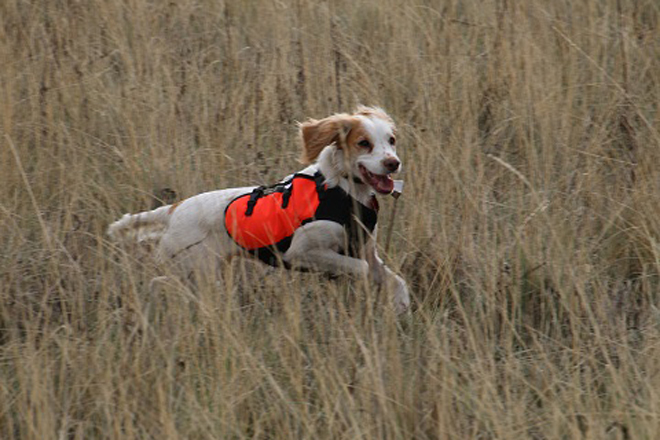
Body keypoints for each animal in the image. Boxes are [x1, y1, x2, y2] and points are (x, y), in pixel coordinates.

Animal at [107, 106, 408, 312]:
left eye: (392, 140)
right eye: (363, 143)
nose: (393, 163)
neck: (345, 192)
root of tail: (174, 209)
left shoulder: (367, 251)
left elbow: (396, 281)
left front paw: (401, 311)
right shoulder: (302, 252)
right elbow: (360, 269)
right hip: (198, 272)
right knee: (159, 283)